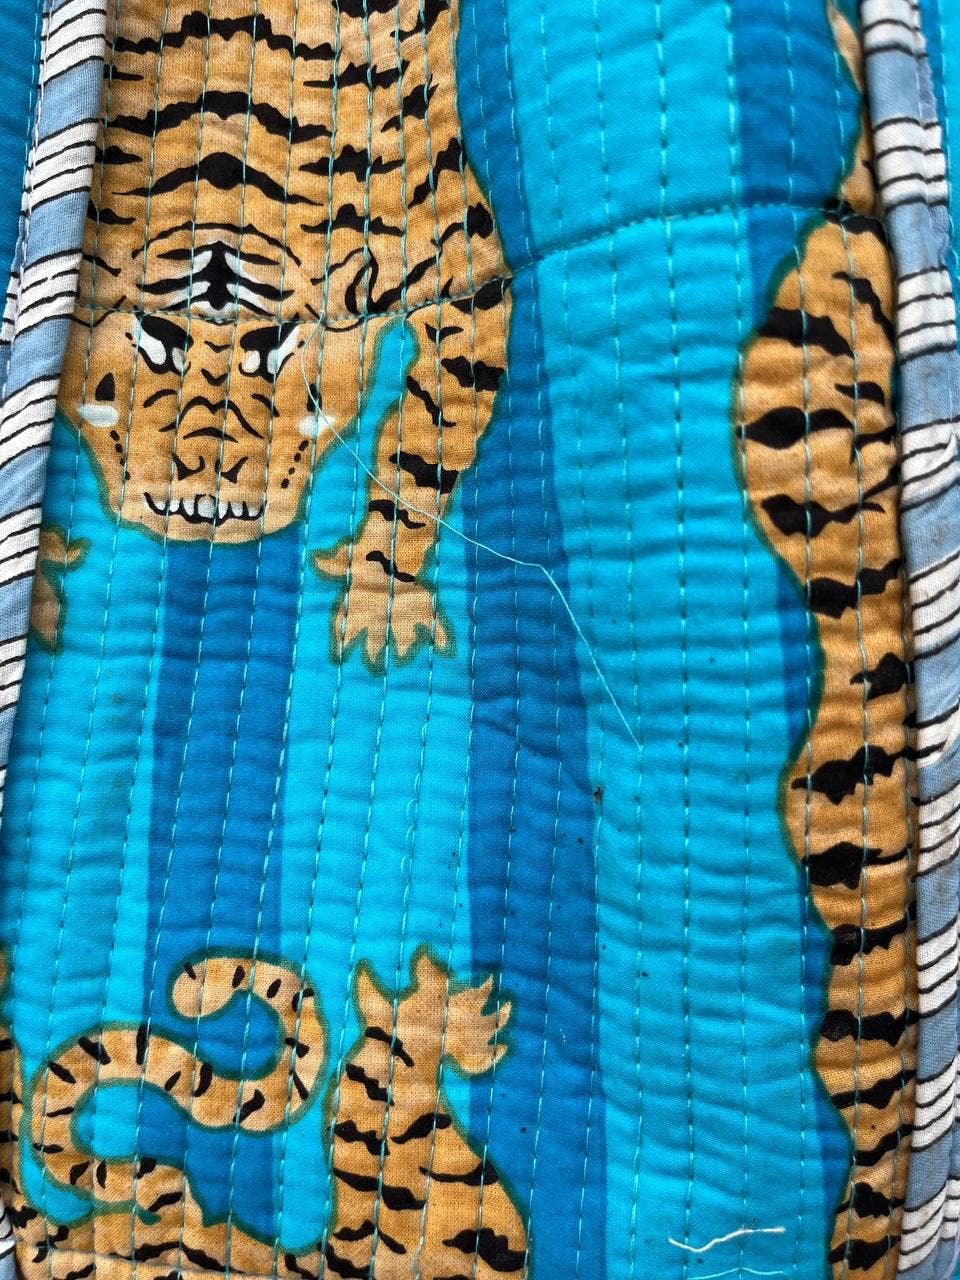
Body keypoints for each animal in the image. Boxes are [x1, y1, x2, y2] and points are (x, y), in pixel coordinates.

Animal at [57, 0, 511, 669]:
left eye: (271, 351)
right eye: (158, 339)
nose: (208, 475)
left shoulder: (465, 271)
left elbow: (429, 445)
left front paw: (383, 591)